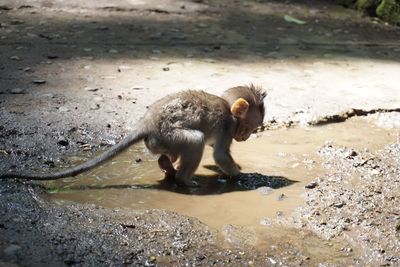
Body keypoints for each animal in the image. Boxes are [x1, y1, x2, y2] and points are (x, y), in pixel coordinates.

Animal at [2, 85, 268, 186]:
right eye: (248, 129)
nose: (245, 138)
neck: (229, 108)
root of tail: (147, 123)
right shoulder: (226, 128)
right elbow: (220, 155)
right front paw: (242, 175)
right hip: (169, 135)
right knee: (195, 141)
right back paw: (183, 179)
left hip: (160, 141)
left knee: (170, 152)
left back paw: (168, 167)